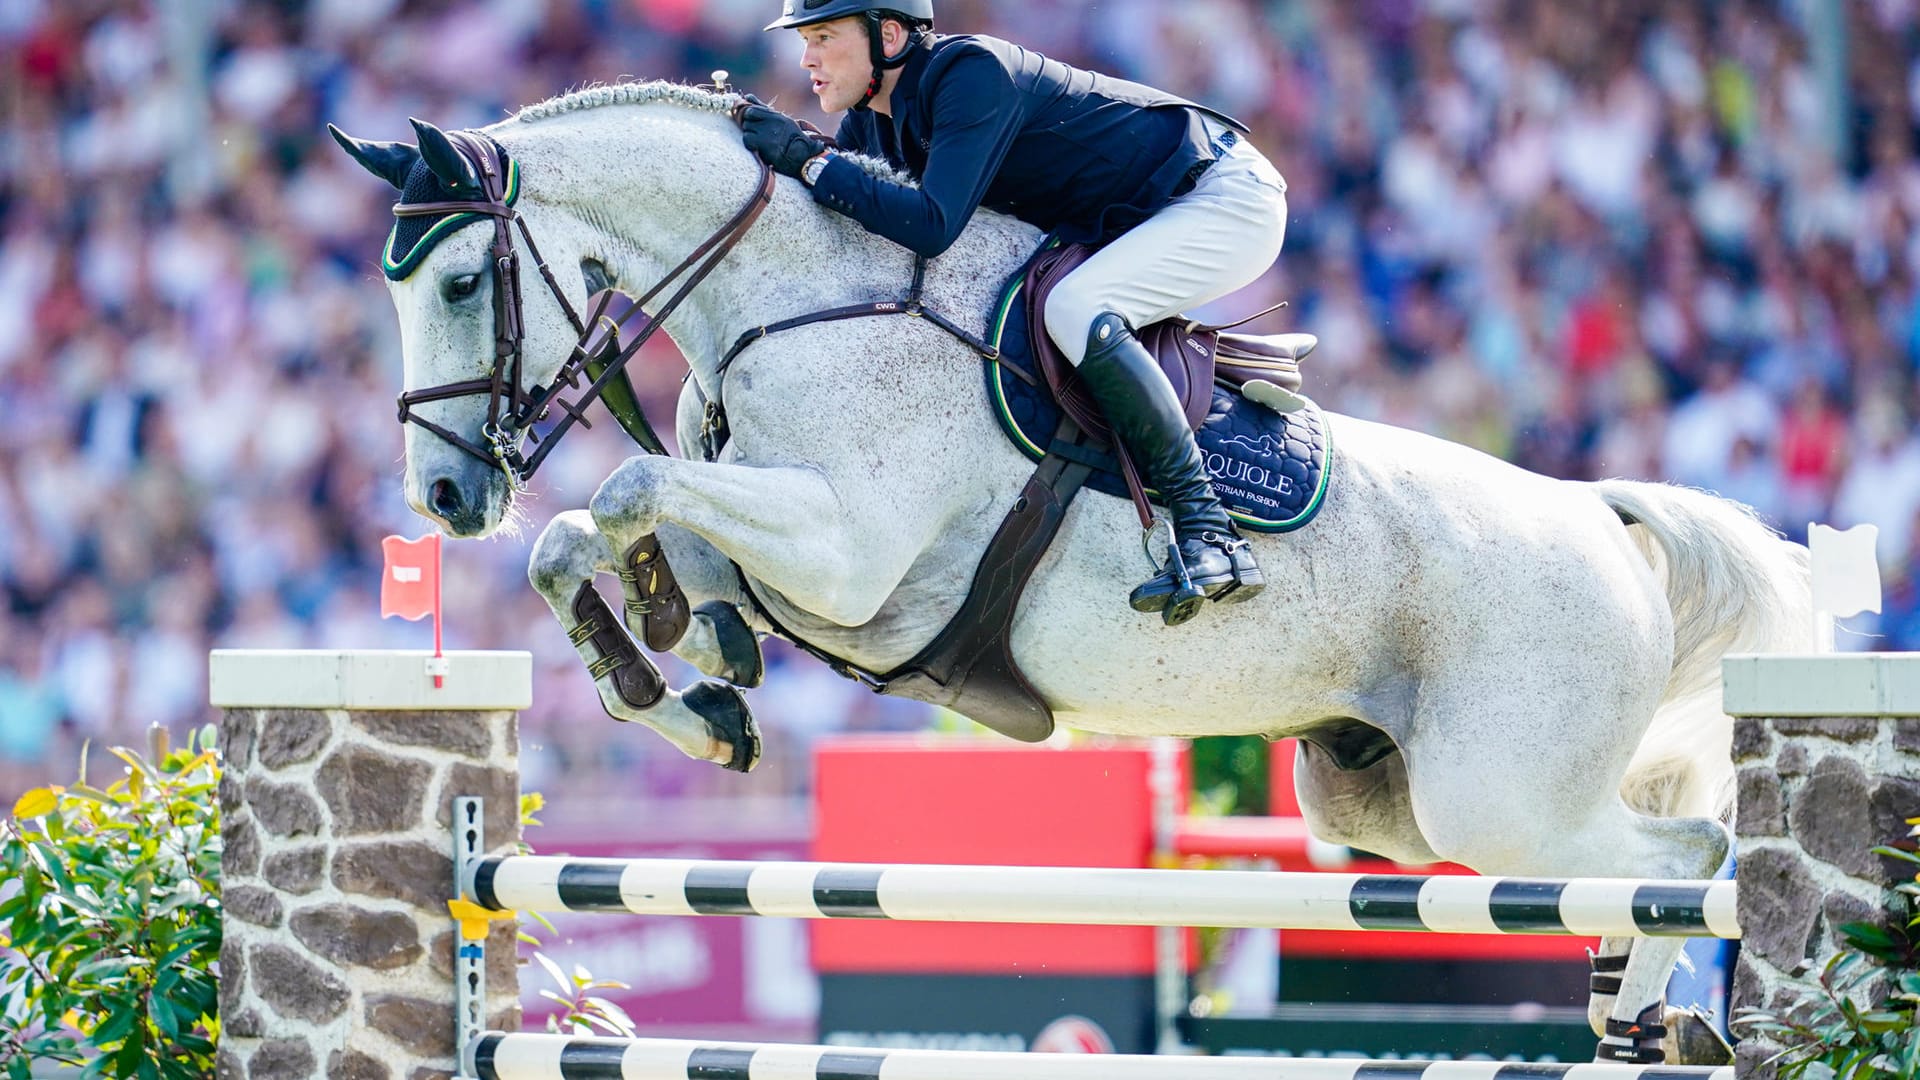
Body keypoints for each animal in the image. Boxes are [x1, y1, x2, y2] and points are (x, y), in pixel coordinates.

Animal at [334, 82, 1812, 1060]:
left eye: (459, 284)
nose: (446, 497)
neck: (796, 296)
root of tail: (1600, 519)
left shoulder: (852, 555)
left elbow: (626, 496)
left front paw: (685, 673)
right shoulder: (789, 540)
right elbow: (604, 540)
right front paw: (688, 685)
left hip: (1496, 799)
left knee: (1691, 853)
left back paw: (1661, 1023)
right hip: (1377, 803)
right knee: (1625, 869)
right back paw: (1638, 1029)